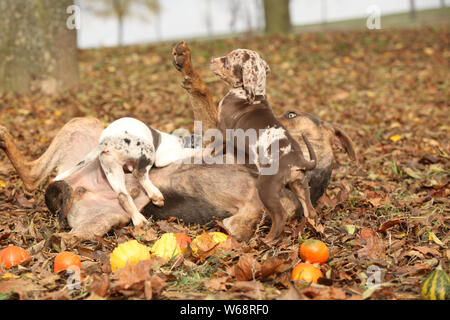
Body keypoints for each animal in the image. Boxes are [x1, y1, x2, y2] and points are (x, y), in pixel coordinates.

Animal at [211, 48, 320, 241]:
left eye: (227, 60)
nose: (211, 60)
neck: (251, 96)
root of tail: (297, 160)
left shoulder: (223, 131)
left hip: (266, 188)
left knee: (280, 215)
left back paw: (268, 240)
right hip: (300, 184)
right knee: (310, 210)